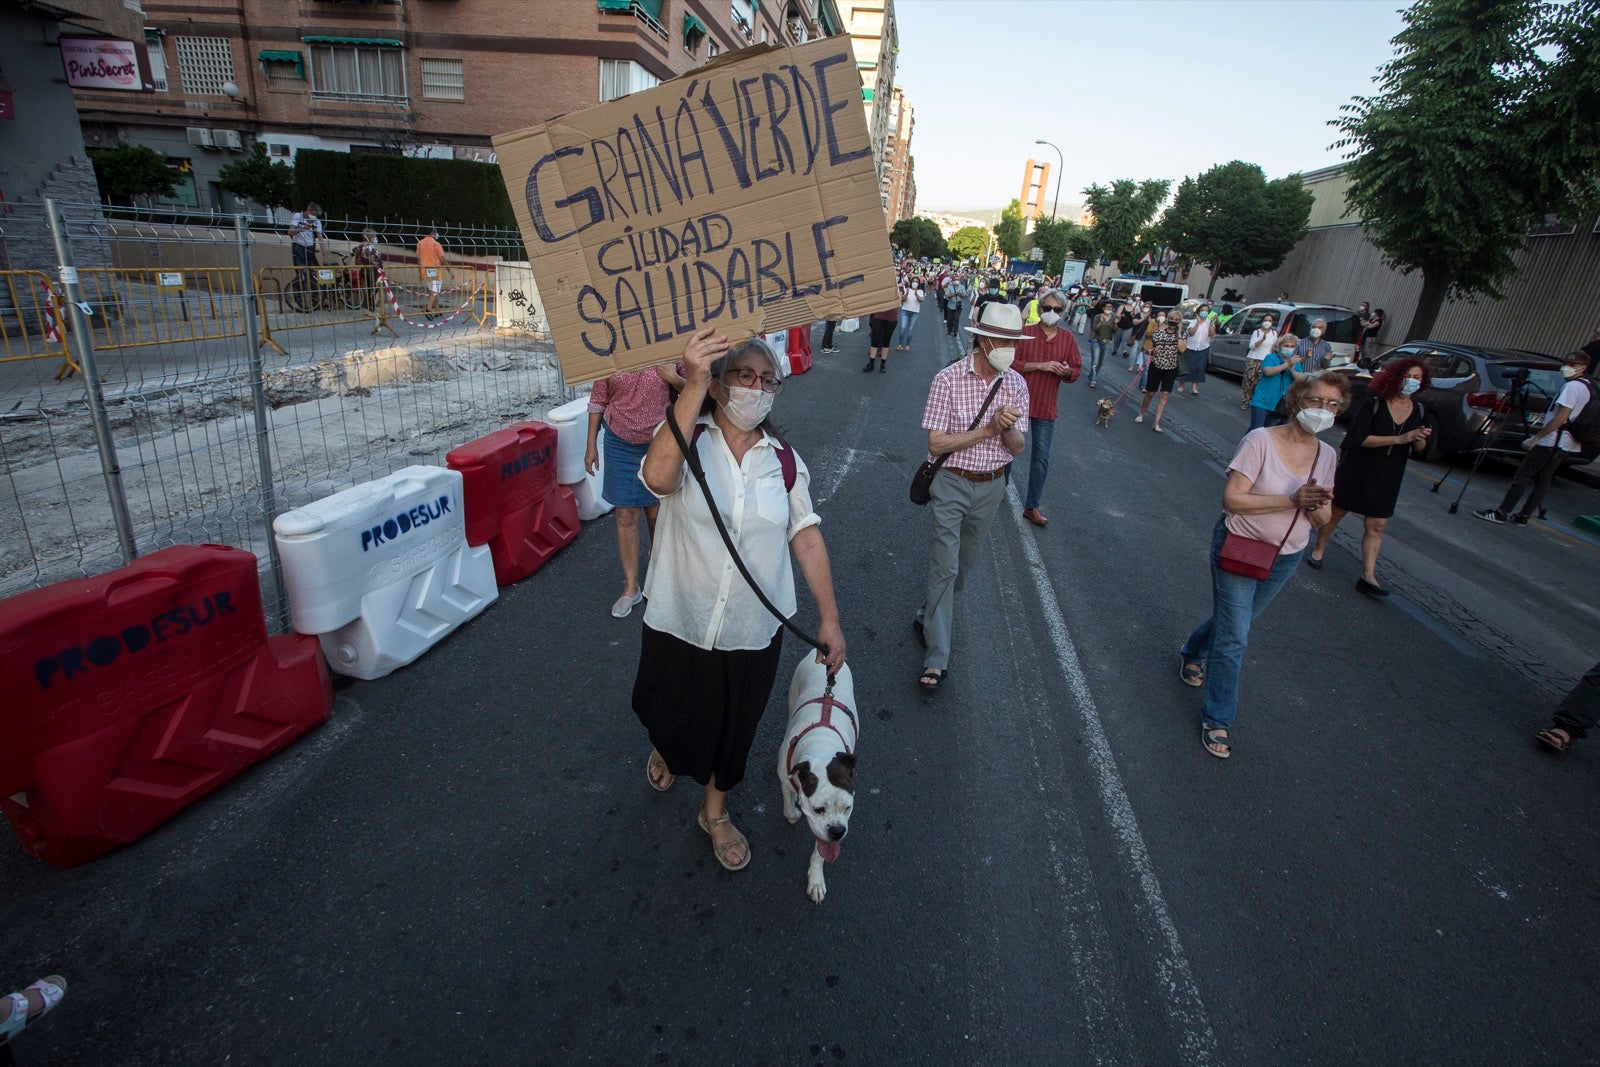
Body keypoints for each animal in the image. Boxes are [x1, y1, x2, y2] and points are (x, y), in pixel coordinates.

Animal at [777, 659, 857, 902]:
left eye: (848, 808)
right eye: (818, 809)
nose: (838, 832)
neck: (822, 747)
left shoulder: (825, 834)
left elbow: (820, 853)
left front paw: (815, 880)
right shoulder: (785, 778)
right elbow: (789, 804)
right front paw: (793, 813)